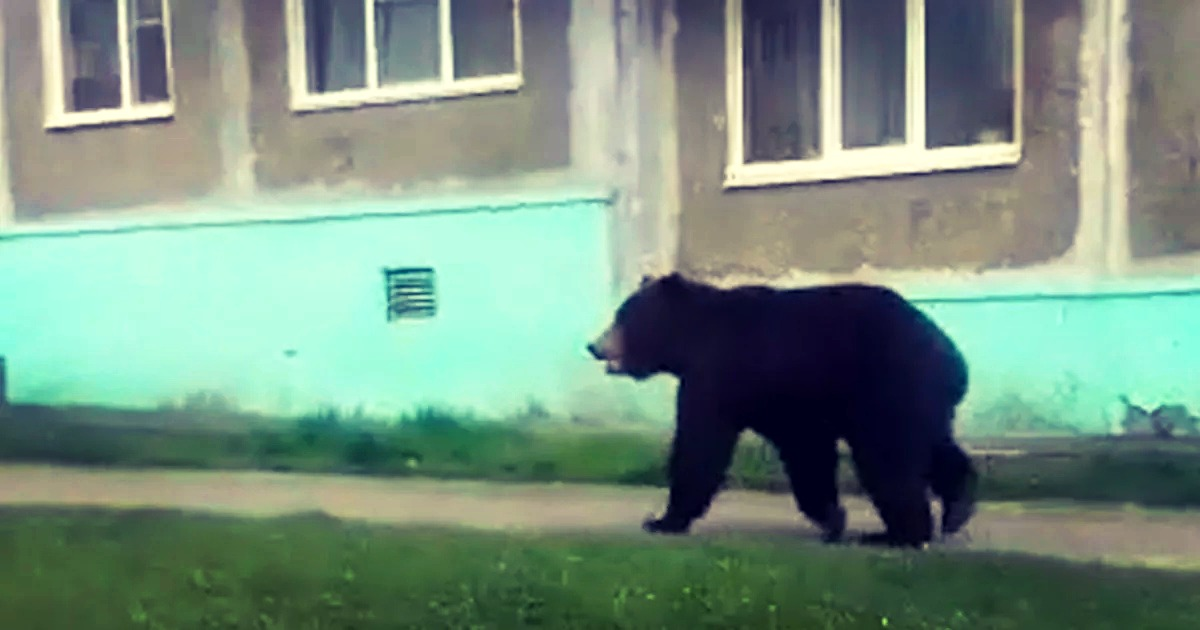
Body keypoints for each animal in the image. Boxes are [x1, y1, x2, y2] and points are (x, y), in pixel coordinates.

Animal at [588, 272, 974, 547]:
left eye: (623, 316)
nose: (594, 346)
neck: (692, 341)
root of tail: (953, 356)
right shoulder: (779, 396)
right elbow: (804, 449)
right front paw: (832, 517)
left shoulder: (720, 375)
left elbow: (701, 444)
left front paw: (662, 520)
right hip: (922, 401)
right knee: (934, 446)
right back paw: (956, 510)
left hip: (888, 386)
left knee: (887, 457)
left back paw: (896, 535)